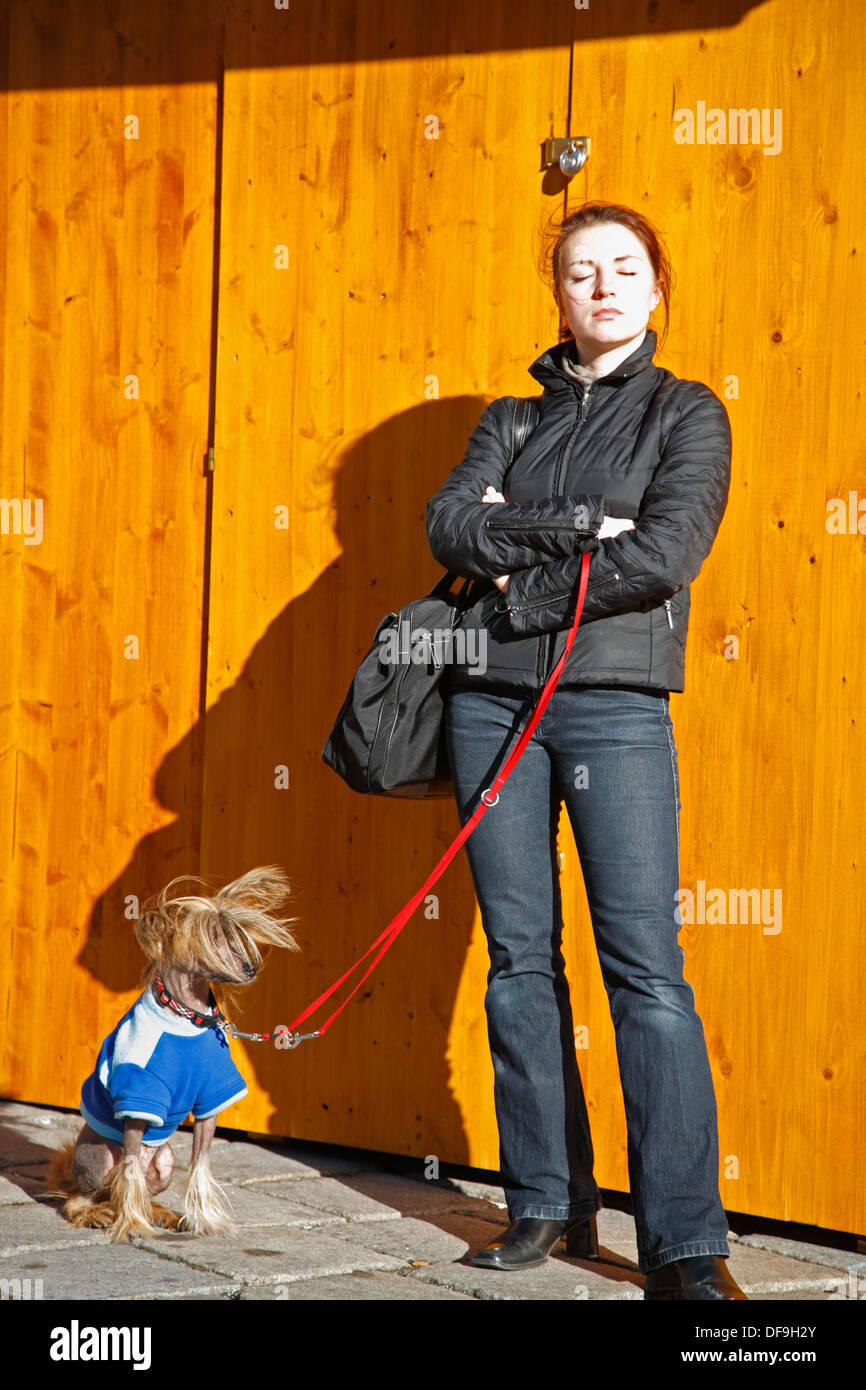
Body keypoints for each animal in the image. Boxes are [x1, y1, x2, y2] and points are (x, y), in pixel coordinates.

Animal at [50, 861, 303, 1245]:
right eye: (214, 938)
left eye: (236, 935)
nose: (250, 969)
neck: (187, 1017)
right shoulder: (139, 1096)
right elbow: (130, 1170)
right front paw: (132, 1225)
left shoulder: (213, 1097)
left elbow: (200, 1163)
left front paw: (205, 1220)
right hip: (99, 1159)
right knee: (86, 1193)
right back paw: (98, 1213)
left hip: (165, 1160)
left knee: (131, 1187)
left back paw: (160, 1213)